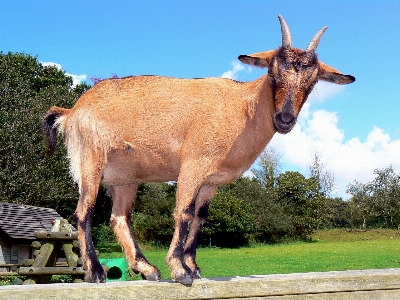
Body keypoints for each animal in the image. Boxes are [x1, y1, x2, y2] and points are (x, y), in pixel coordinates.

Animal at [43, 14, 356, 286]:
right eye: (273, 74)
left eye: (312, 82)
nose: (285, 119)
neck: (243, 107)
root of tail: (72, 112)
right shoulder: (193, 164)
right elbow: (183, 212)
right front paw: (180, 270)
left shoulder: (211, 180)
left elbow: (200, 217)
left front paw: (193, 266)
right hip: (90, 158)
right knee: (84, 211)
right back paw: (96, 271)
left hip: (125, 178)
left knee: (119, 218)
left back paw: (147, 269)